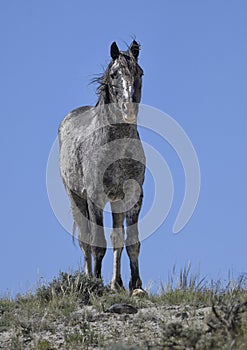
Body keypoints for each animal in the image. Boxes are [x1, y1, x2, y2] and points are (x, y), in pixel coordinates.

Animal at [58, 41, 146, 290]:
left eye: (140, 73)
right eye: (115, 74)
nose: (129, 110)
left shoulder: (133, 195)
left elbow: (130, 241)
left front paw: (136, 285)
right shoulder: (95, 196)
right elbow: (98, 243)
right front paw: (96, 283)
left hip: (116, 202)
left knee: (116, 239)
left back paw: (117, 283)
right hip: (76, 199)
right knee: (86, 241)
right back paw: (89, 278)